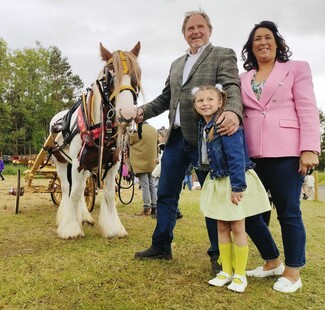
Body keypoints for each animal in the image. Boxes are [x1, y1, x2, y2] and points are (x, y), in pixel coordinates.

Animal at [48, 41, 141, 240]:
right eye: (110, 75)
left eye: (137, 74)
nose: (127, 113)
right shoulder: (77, 163)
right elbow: (74, 193)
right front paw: (71, 227)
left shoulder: (112, 164)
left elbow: (108, 194)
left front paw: (113, 227)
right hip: (61, 161)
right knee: (66, 188)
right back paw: (67, 216)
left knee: (82, 187)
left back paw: (83, 216)